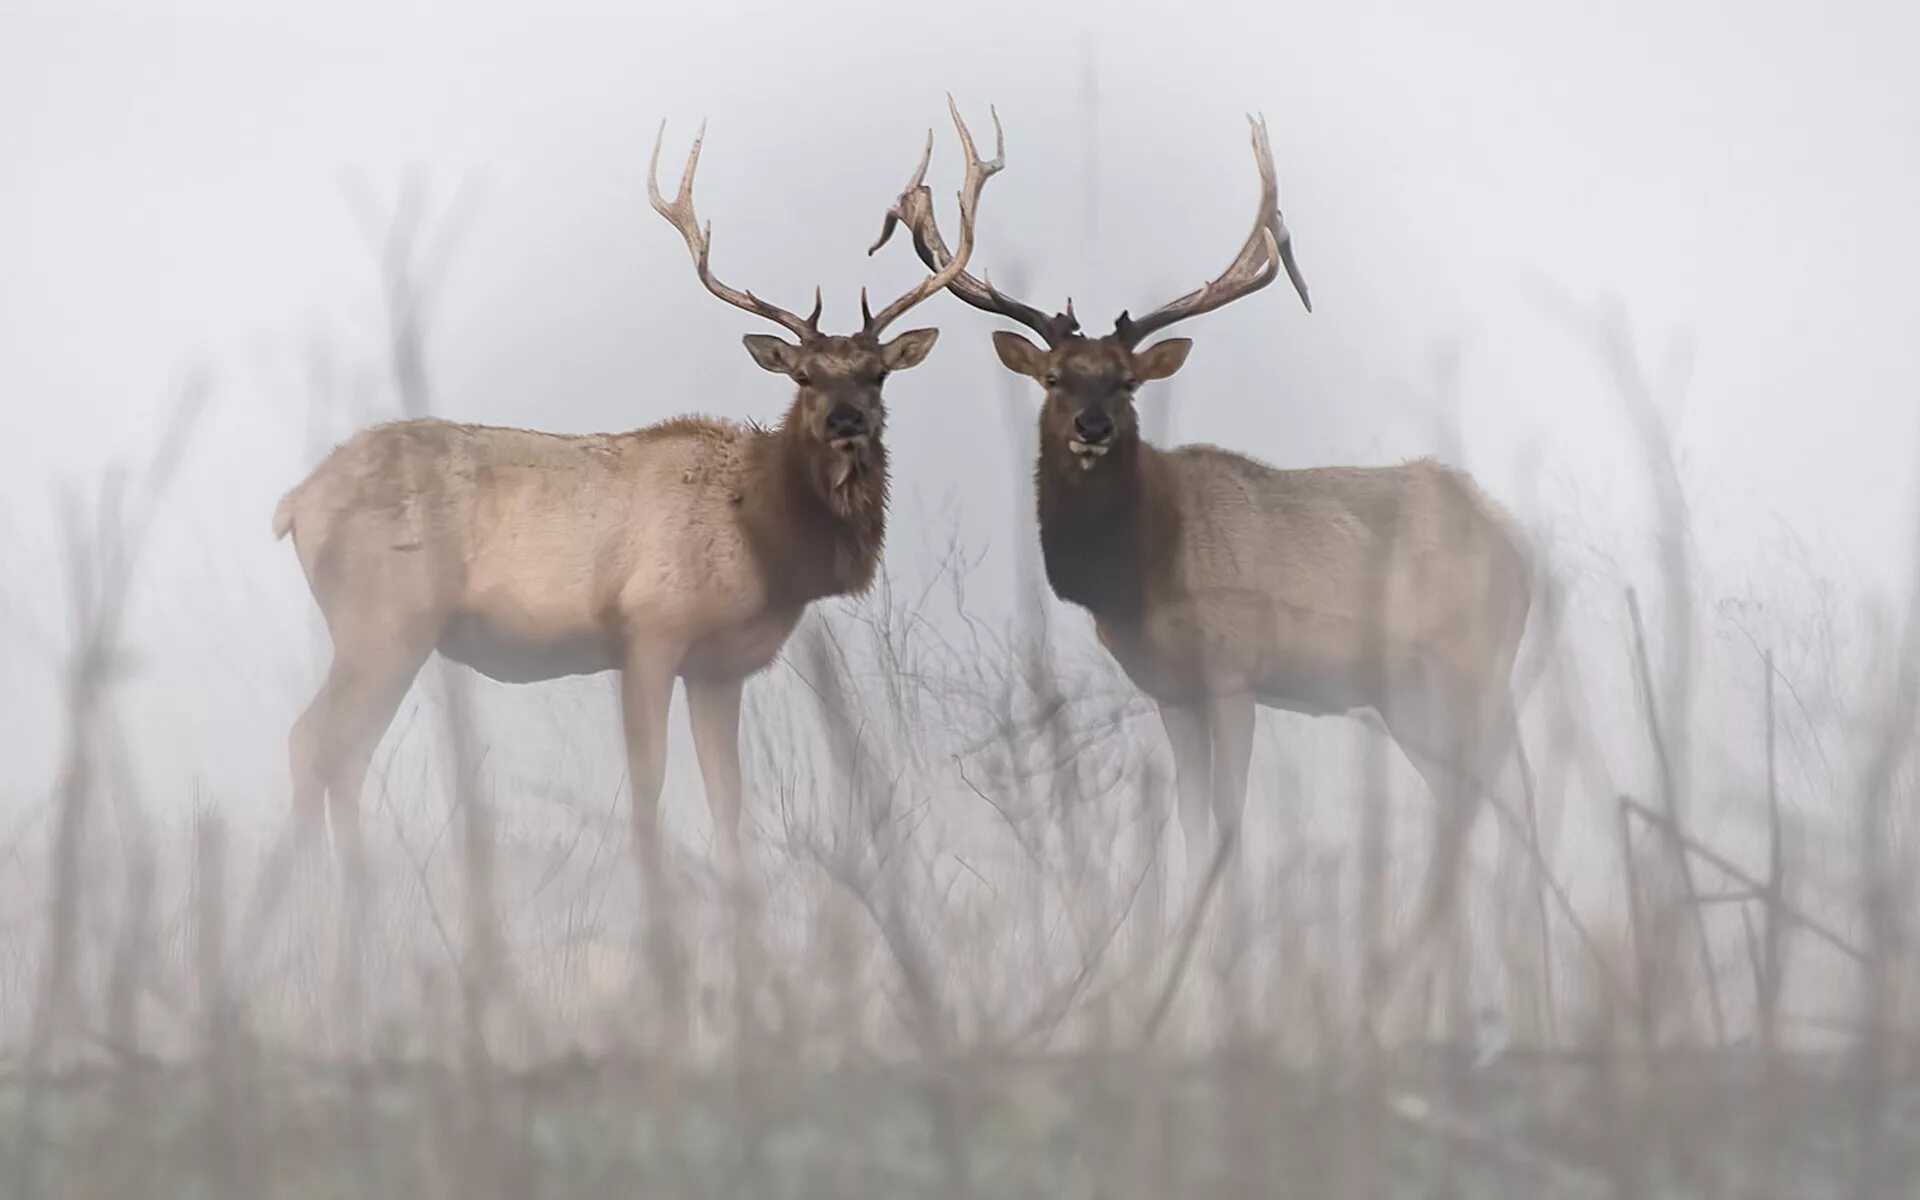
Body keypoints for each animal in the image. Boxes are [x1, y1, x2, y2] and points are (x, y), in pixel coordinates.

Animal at [272, 100, 1013, 890]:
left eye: (877, 373)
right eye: (804, 375)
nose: (847, 421)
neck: (765, 544)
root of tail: (295, 504)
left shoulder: (720, 667)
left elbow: (729, 799)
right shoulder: (649, 628)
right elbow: (650, 782)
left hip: (384, 633)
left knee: (340, 754)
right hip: (382, 622)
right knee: (314, 741)